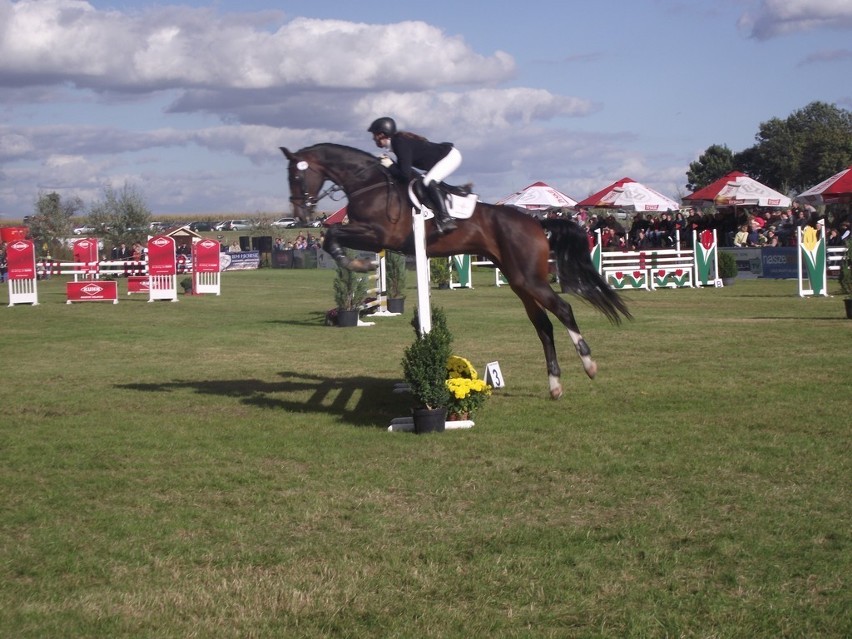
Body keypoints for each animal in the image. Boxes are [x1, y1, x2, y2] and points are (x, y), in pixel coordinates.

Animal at [282, 144, 628, 400]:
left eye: (297, 177)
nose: (301, 215)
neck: (369, 183)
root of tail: (536, 222)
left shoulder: (378, 234)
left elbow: (331, 235)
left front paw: (357, 264)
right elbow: (331, 236)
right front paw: (356, 263)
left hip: (530, 278)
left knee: (563, 308)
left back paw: (589, 365)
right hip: (519, 280)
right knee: (543, 324)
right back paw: (555, 385)